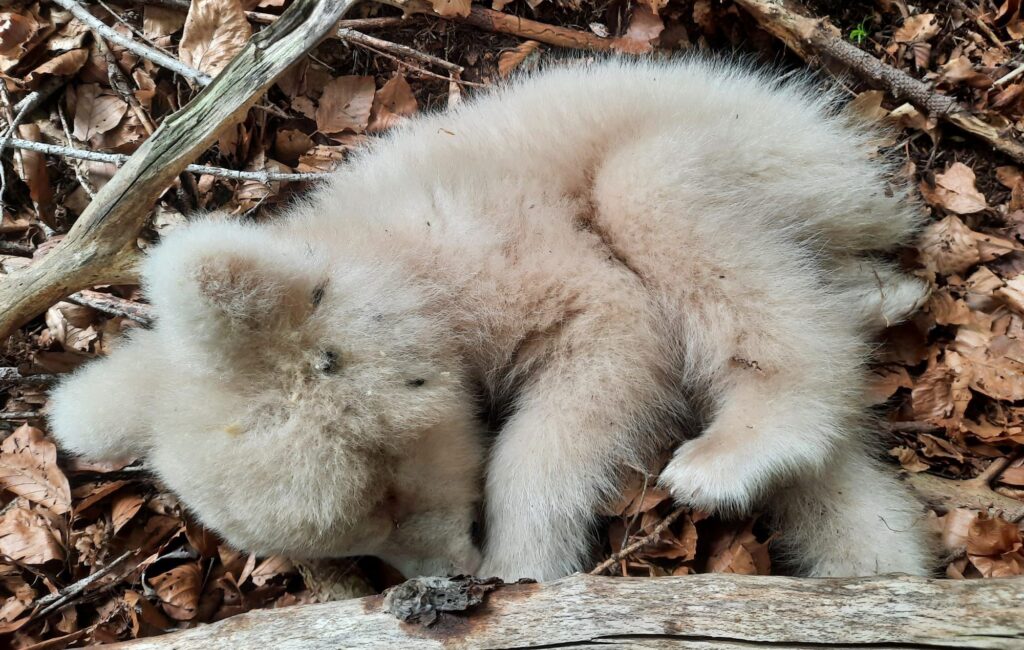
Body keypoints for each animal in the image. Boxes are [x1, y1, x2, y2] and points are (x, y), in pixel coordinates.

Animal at [49, 56, 936, 581]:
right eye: (357, 540)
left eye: (387, 492)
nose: (447, 574)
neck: (393, 256)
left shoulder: (512, 257)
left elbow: (609, 351)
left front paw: (523, 562)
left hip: (774, 153)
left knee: (659, 192)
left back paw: (738, 452)